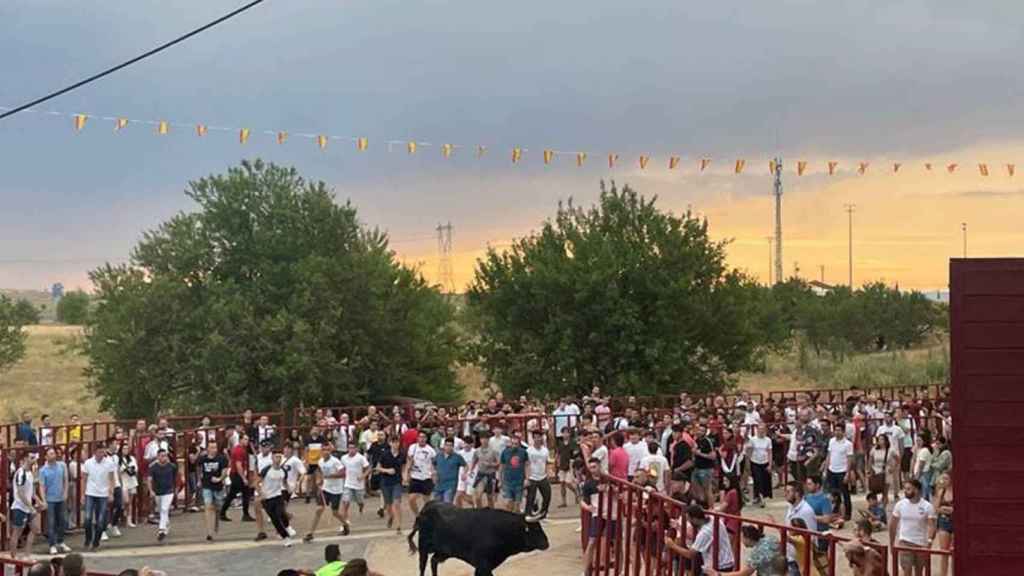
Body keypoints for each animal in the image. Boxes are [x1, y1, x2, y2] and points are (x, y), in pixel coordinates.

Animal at [407, 498, 552, 573]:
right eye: (535, 528)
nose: (546, 543)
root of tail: (426, 507)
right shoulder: (483, 566)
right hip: (423, 547)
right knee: (422, 566)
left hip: (444, 552)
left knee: (433, 561)